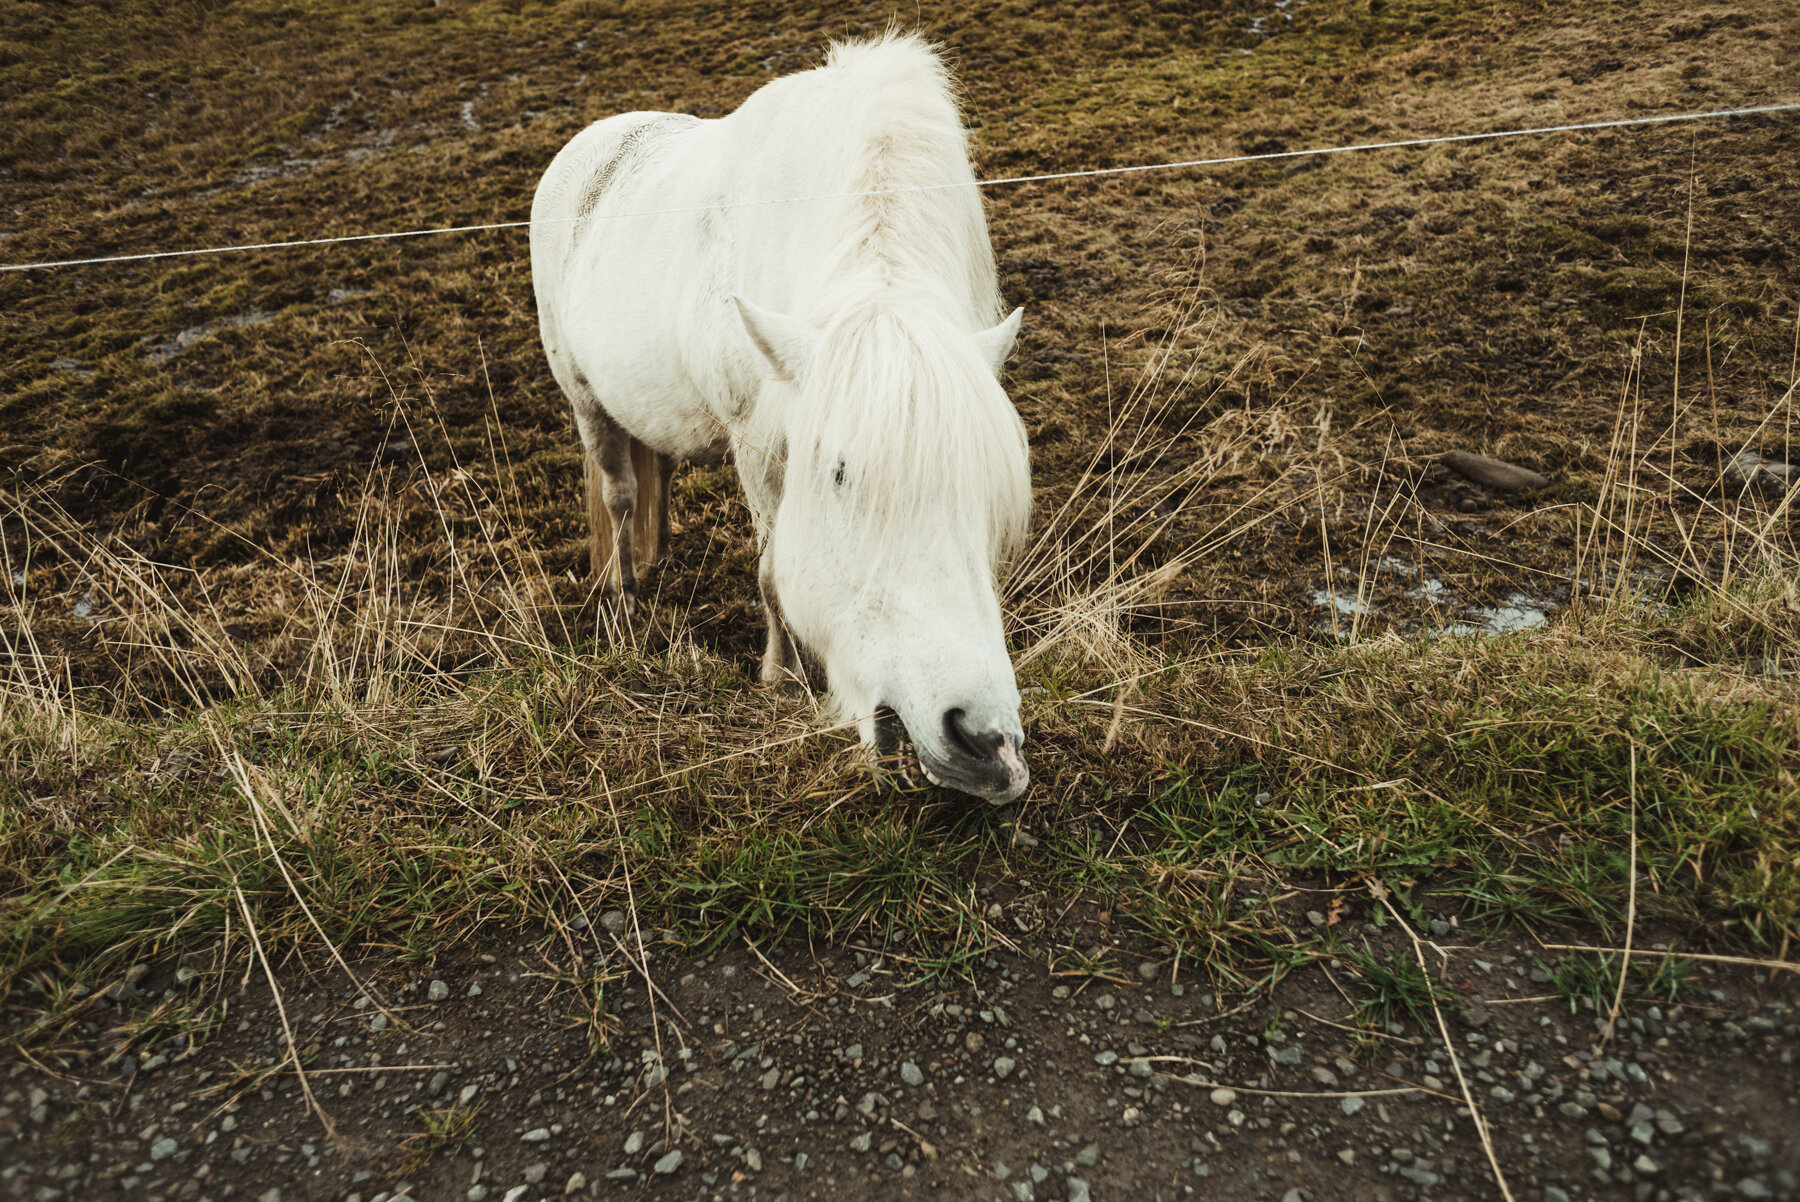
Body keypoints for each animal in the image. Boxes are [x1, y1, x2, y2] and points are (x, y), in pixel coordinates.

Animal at [529, 32, 1029, 802]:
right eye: (841, 475)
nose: (983, 741)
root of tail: (591, 140)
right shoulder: (757, 446)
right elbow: (770, 573)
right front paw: (781, 676)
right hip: (585, 399)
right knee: (620, 496)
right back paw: (626, 601)